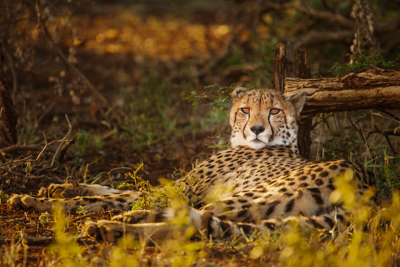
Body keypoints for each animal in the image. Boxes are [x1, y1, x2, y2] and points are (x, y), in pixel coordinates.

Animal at [7, 88, 376, 243]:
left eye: (274, 110)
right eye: (245, 109)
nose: (257, 129)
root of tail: (366, 187)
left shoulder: (185, 189)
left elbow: (108, 197)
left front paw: (38, 200)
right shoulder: (178, 187)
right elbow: (111, 188)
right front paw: (55, 187)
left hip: (253, 196)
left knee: (193, 221)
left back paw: (115, 226)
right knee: (200, 224)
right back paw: (120, 225)